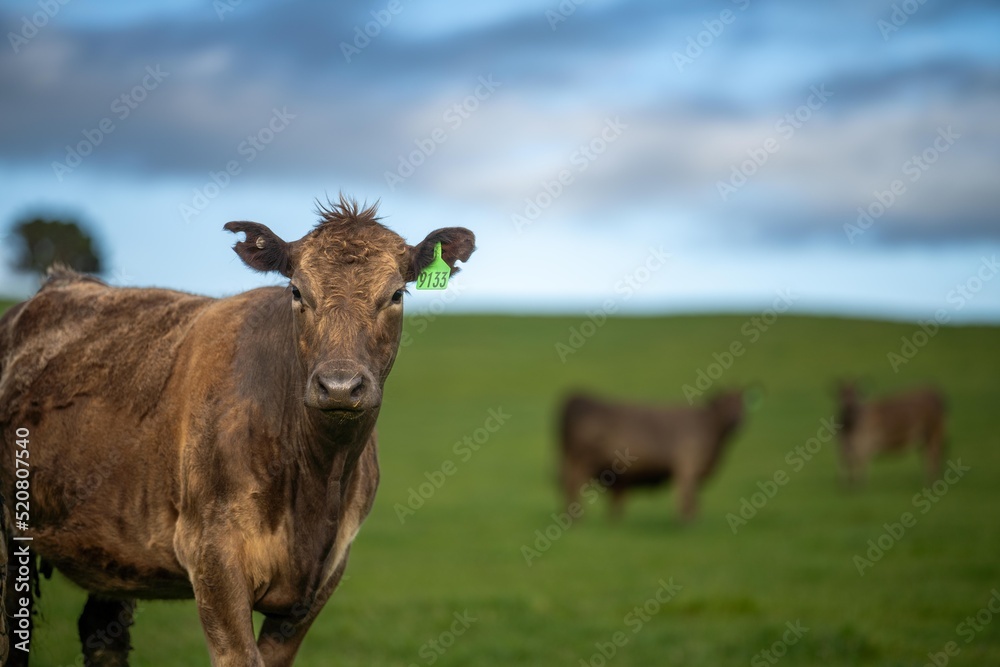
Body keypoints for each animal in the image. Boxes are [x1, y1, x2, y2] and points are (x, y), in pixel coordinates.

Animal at [0, 198, 474, 667]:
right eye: (297, 292)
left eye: (396, 294)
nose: (339, 386)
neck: (318, 482)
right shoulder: (212, 558)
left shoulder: (321, 578)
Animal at [564, 388, 744, 524]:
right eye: (726, 403)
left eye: (741, 403)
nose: (737, 420)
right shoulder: (687, 466)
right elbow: (688, 495)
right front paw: (688, 521)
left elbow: (693, 496)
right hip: (582, 463)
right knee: (573, 484)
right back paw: (577, 518)